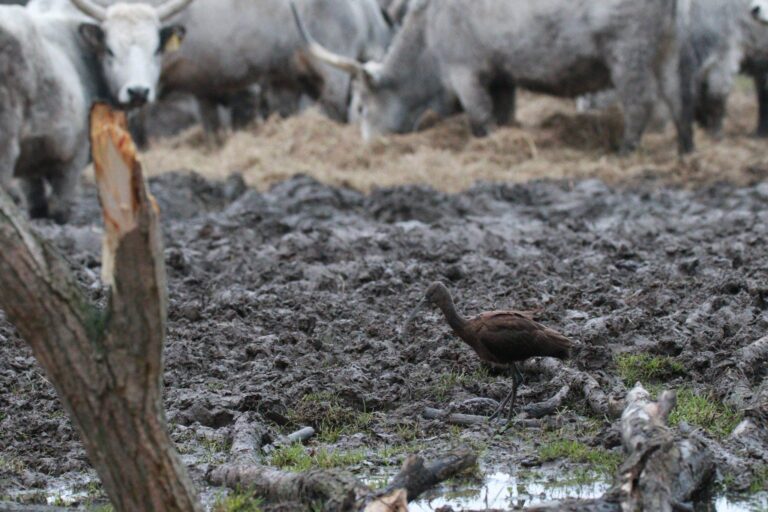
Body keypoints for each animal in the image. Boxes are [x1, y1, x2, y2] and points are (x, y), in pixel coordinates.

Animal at [0, 0, 192, 224]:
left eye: (156, 49)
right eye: (110, 50)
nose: (138, 91)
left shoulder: (32, 166)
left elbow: (36, 207)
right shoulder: (73, 158)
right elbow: (59, 210)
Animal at [294, 0, 696, 154]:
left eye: (362, 108)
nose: (368, 146)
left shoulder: (466, 73)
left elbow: (481, 120)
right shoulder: (502, 78)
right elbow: (504, 116)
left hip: (628, 53)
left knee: (640, 103)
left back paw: (626, 149)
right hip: (666, 49)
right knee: (679, 100)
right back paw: (685, 151)